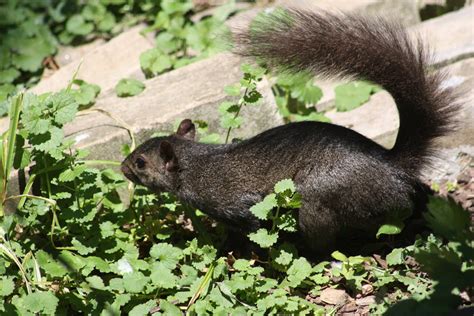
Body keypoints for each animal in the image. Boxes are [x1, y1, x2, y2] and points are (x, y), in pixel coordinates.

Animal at [121, 8, 460, 253]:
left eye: (140, 162)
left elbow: (254, 229)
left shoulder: (236, 204)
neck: (195, 164)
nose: (122, 168)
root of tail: (394, 168)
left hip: (319, 197)